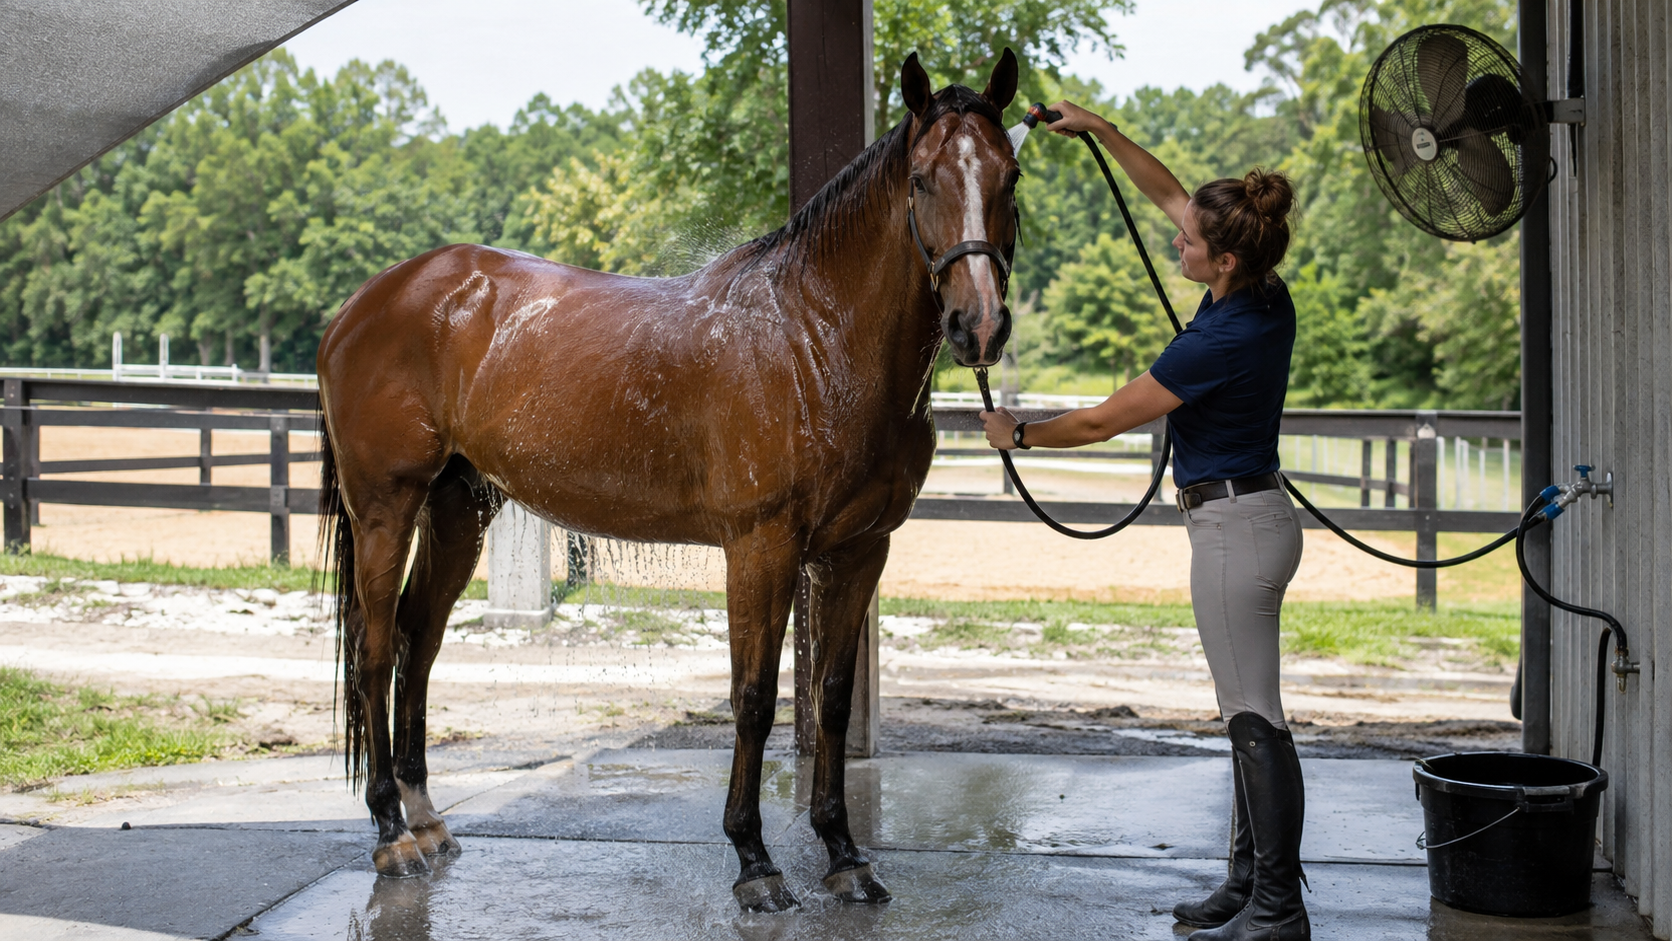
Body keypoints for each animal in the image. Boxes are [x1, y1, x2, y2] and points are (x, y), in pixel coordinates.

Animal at [315, 49, 1020, 911]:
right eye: (922, 179)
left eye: (1010, 175)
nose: (978, 326)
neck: (813, 340)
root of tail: (364, 304)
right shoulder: (760, 548)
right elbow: (753, 699)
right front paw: (755, 861)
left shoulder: (859, 551)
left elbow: (830, 695)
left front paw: (845, 853)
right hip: (387, 508)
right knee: (378, 647)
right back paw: (390, 834)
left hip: (458, 512)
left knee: (420, 640)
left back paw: (427, 820)